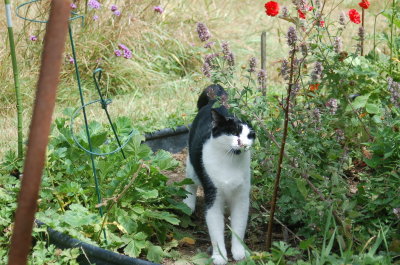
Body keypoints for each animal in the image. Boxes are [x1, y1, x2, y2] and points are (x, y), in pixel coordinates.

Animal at [183, 84, 255, 262]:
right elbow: (215, 231)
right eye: (234, 133)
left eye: (249, 135)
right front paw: (220, 256)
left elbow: (239, 226)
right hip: (192, 164)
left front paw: (239, 252)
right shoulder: (212, 195)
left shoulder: (242, 198)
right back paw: (188, 204)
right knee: (190, 182)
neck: (229, 162)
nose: (242, 143)